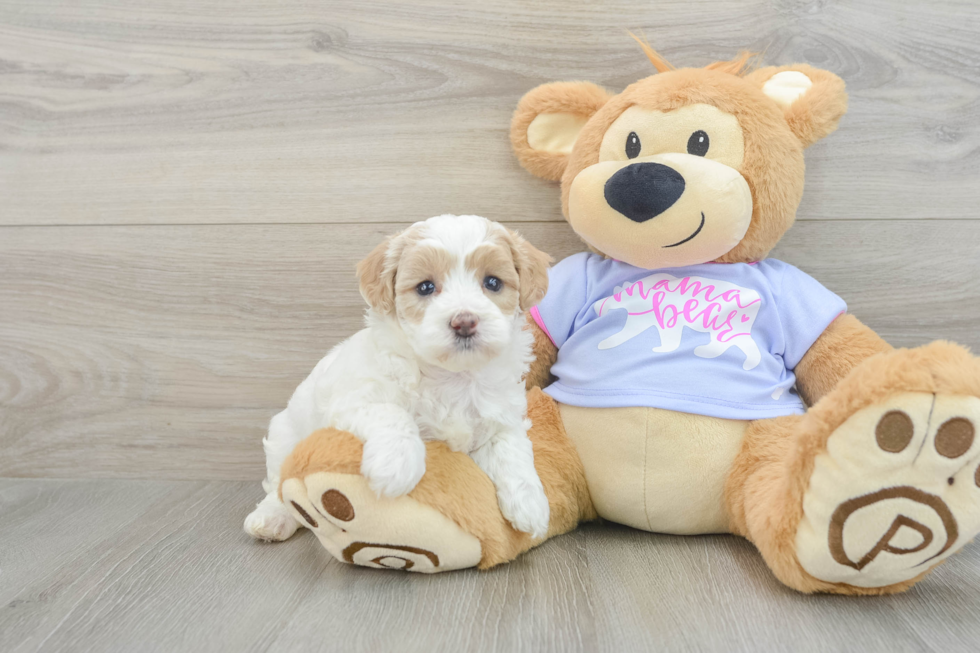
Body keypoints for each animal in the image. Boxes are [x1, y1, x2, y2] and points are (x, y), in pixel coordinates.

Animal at [242, 214, 556, 540]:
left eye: (493, 282)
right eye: (425, 287)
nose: (465, 321)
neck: (453, 377)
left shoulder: (502, 418)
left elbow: (511, 450)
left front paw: (531, 505)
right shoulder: (353, 400)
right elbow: (392, 414)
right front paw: (396, 464)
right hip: (284, 436)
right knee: (279, 483)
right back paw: (271, 517)